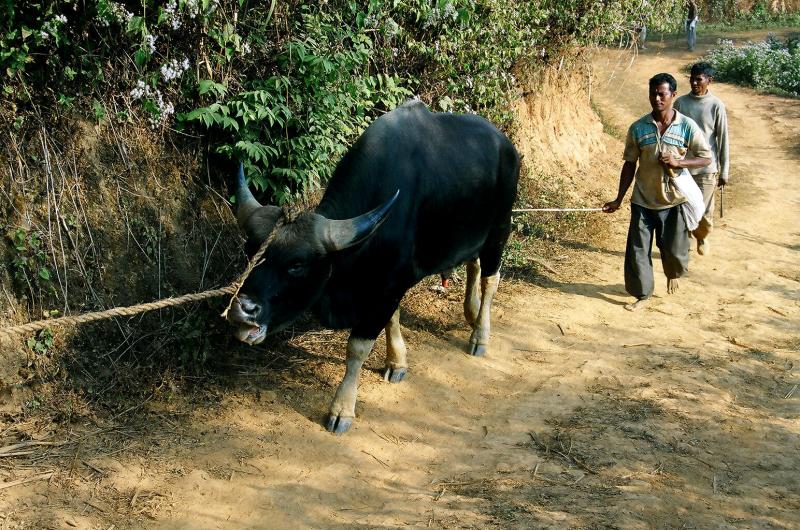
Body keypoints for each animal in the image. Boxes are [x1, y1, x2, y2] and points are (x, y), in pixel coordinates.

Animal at [225, 100, 520, 434]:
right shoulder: (387, 284)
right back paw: (470, 313)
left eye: (296, 264)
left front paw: (342, 409)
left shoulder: (388, 286)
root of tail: (506, 145)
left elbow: (358, 347)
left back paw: (479, 336)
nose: (242, 308)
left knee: (490, 278)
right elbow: (393, 319)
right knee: (472, 264)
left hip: (500, 227)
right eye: (251, 251)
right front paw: (397, 362)